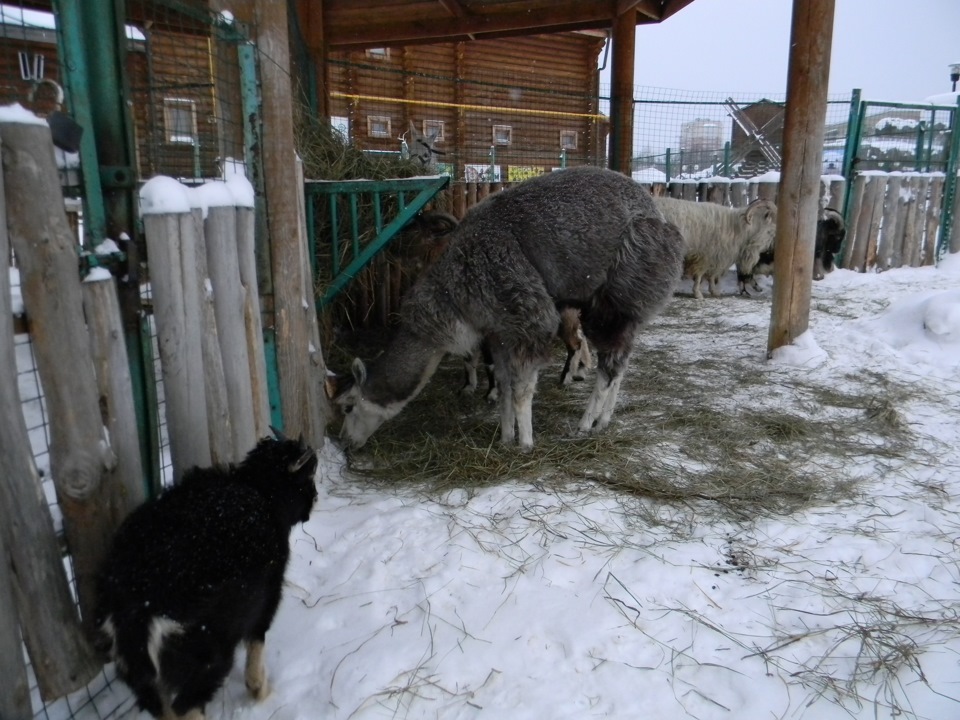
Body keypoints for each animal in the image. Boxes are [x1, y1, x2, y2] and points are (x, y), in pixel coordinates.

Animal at [95, 434, 318, 720]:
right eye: (307, 475)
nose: (315, 499)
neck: (259, 490)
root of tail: (135, 609)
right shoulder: (267, 595)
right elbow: (257, 641)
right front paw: (260, 690)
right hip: (206, 657)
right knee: (188, 704)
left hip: (142, 675)